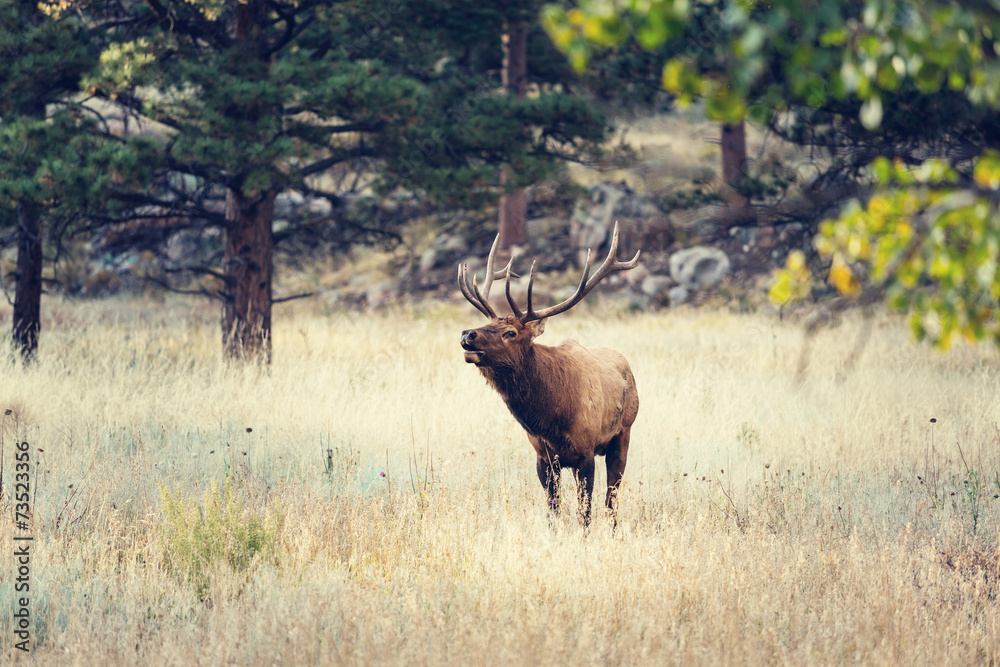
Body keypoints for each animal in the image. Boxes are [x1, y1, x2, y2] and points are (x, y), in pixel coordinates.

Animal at [458, 222, 640, 526]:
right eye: (488, 323)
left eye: (511, 332)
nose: (467, 334)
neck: (551, 418)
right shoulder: (543, 456)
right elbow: (552, 510)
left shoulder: (585, 451)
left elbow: (585, 512)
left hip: (624, 432)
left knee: (611, 499)